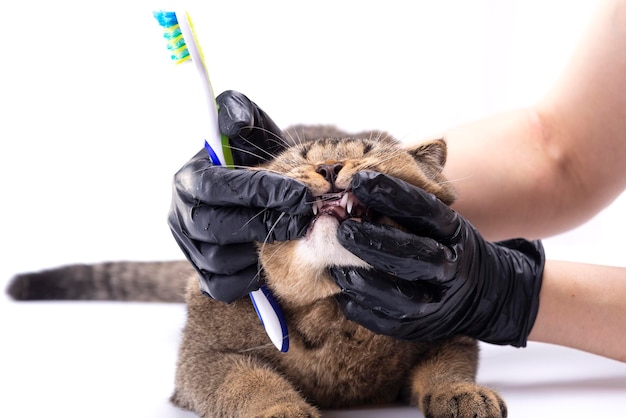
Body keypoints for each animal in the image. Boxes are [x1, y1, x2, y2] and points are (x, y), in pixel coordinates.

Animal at [8, 126, 508, 418]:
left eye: (368, 153)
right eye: (298, 160)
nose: (329, 166)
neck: (330, 310)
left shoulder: (448, 329)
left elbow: (446, 370)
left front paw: (464, 393)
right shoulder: (203, 358)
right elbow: (250, 382)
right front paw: (283, 410)